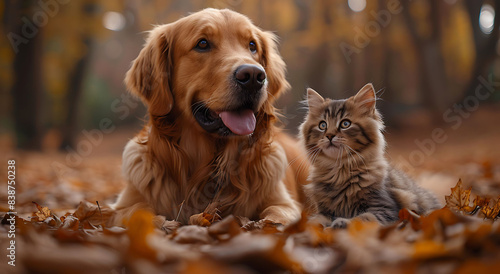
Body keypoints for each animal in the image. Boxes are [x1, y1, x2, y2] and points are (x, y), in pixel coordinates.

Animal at [112, 8, 308, 227]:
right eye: (203, 44)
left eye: (252, 45)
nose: (253, 76)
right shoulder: (123, 206)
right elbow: (138, 214)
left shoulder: (284, 204)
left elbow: (276, 216)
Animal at [298, 84, 440, 229]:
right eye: (322, 125)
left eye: (345, 124)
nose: (330, 136)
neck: (340, 170)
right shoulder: (324, 210)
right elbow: (314, 220)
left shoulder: (384, 208)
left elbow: (361, 218)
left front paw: (341, 222)